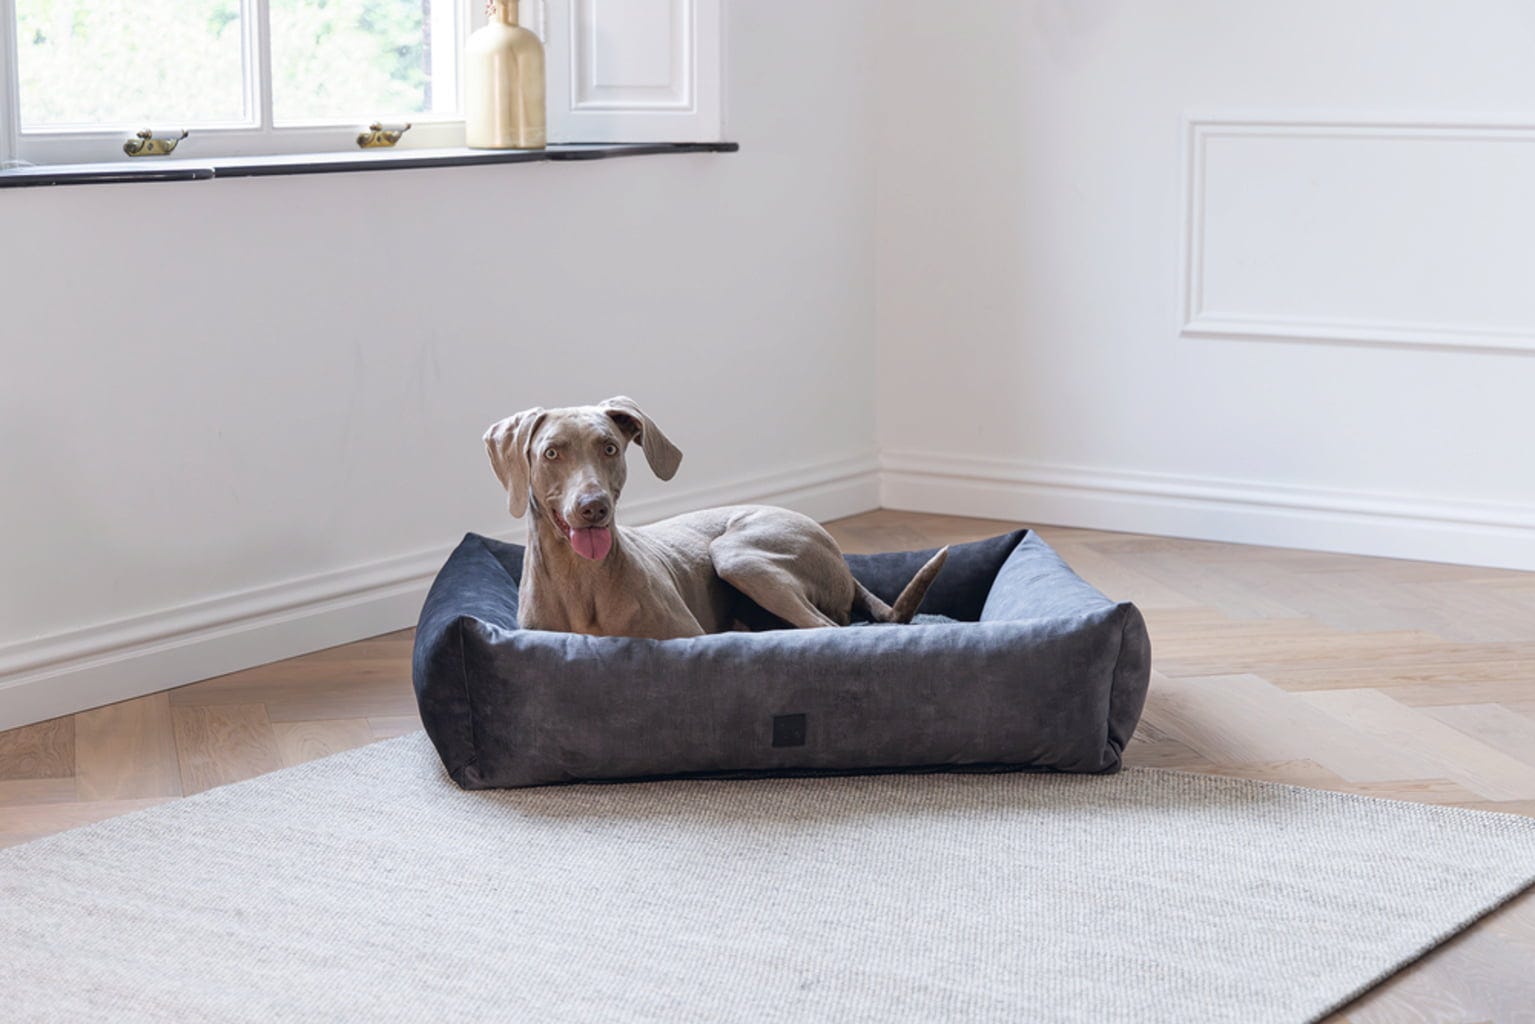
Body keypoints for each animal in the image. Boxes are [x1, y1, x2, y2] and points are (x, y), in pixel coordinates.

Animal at [483, 397, 948, 639]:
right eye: (551, 453)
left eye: (609, 447)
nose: (594, 507)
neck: (583, 580)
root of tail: (844, 565)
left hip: (738, 555)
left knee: (825, 628)